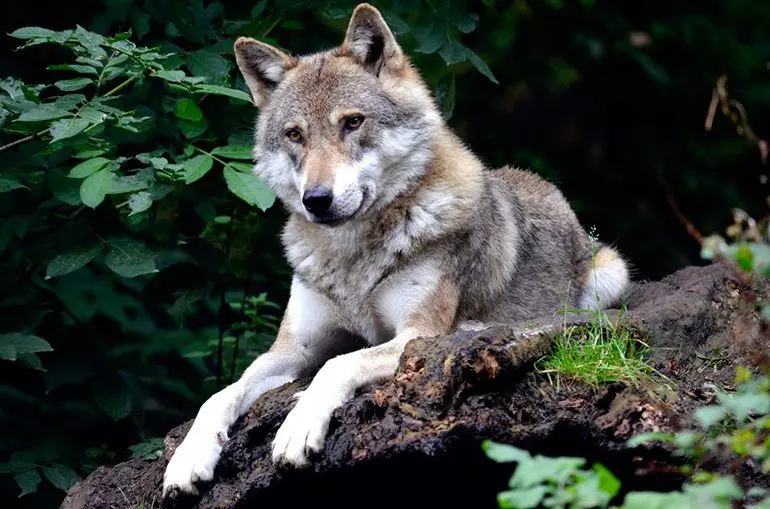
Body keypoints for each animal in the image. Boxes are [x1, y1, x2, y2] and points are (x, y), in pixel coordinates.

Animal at [162, 2, 630, 497]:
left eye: (352, 122)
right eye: (295, 135)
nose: (316, 199)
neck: (352, 258)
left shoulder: (413, 335)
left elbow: (337, 365)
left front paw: (297, 427)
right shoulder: (292, 349)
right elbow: (220, 394)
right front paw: (188, 458)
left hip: (610, 274)